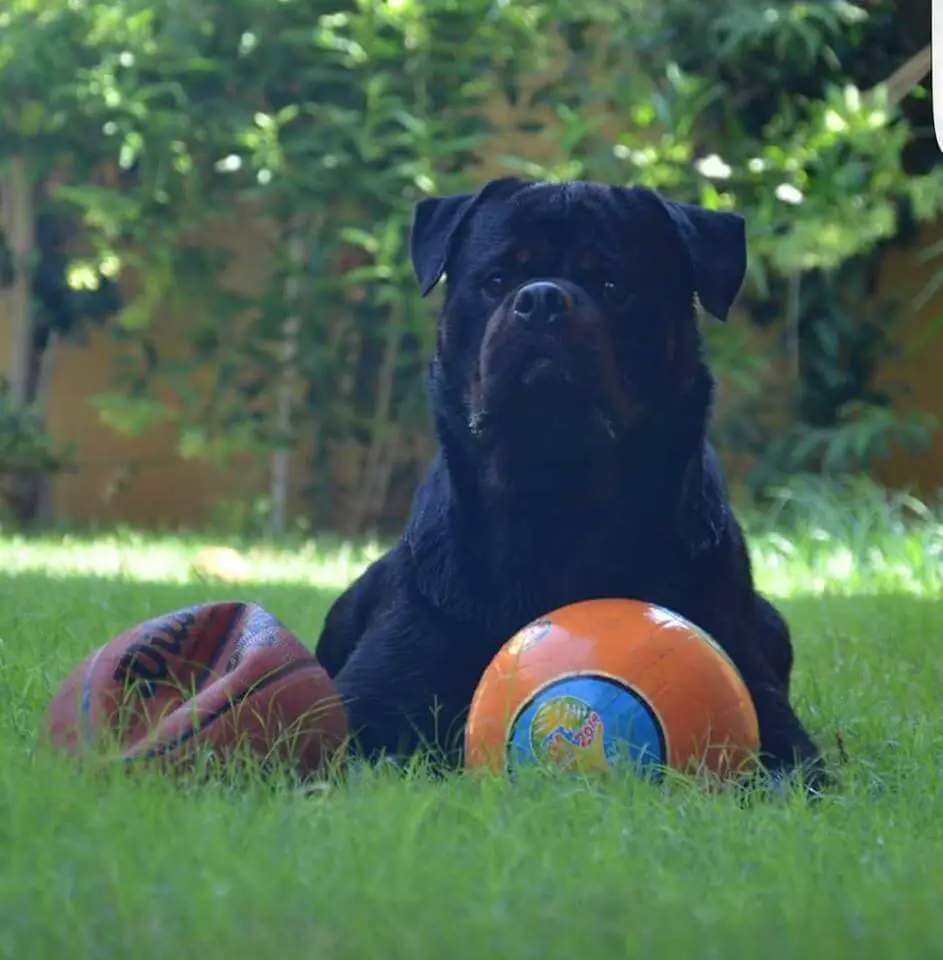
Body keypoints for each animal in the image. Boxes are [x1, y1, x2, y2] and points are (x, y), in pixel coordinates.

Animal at [318, 176, 824, 792]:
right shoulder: (366, 700)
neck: (557, 505)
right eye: (496, 280)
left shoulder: (769, 712)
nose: (540, 299)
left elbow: (787, 769)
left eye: (613, 287)